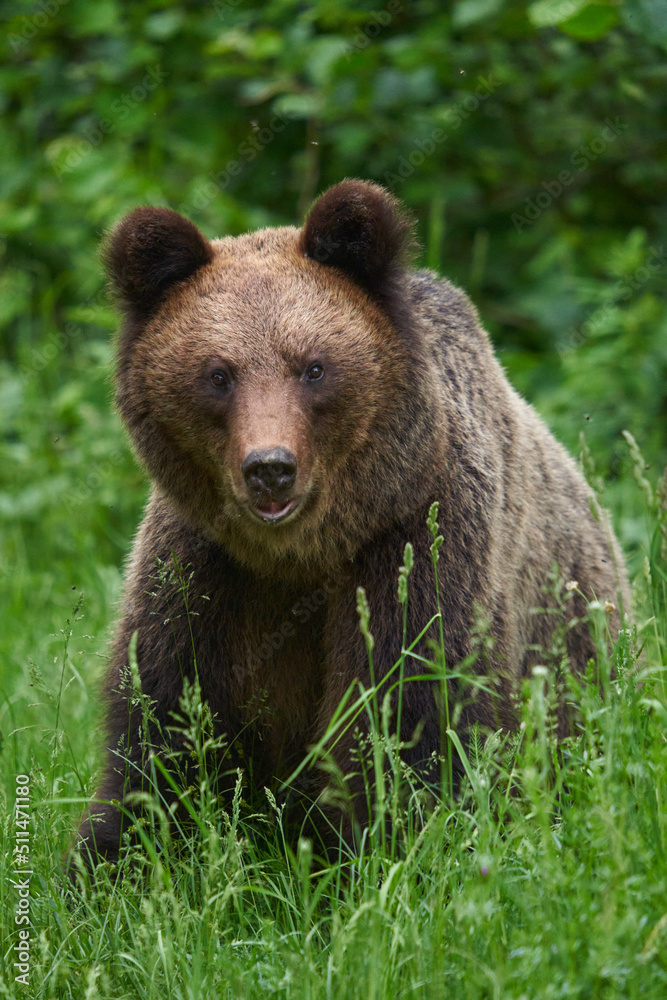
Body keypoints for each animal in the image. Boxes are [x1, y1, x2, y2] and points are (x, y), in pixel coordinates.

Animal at [74, 184, 632, 872]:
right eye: (218, 373)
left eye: (313, 367)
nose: (270, 469)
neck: (301, 555)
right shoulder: (202, 574)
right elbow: (165, 734)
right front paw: (111, 864)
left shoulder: (415, 544)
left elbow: (409, 721)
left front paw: (385, 855)